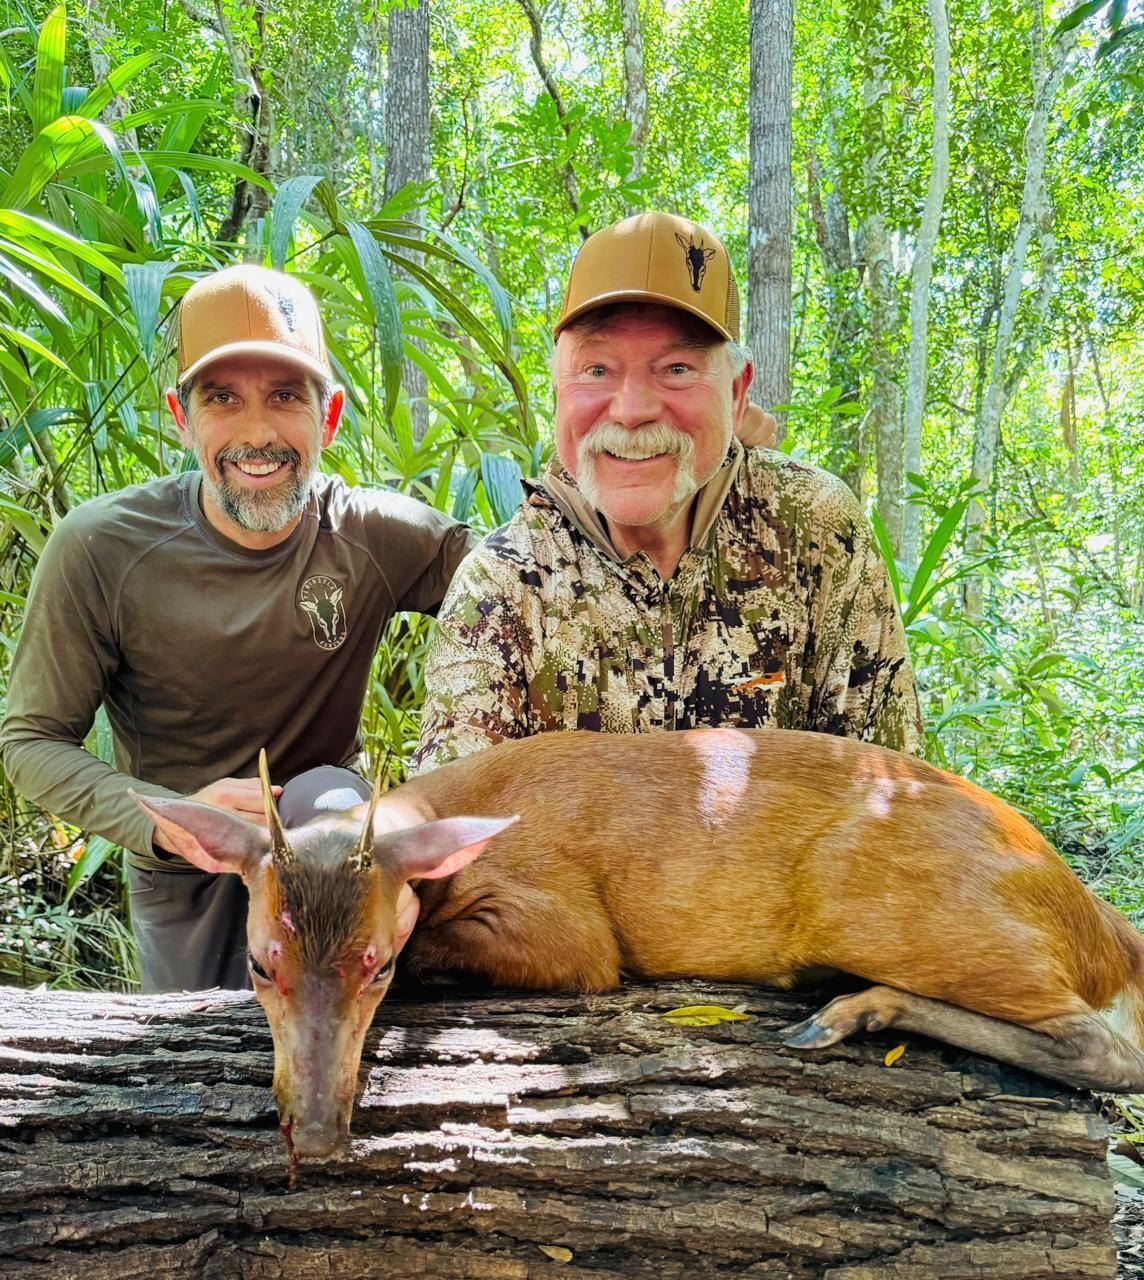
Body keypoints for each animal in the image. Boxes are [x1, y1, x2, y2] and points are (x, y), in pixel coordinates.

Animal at [133, 727, 1144, 1179]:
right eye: (261, 964)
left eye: (378, 963)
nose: (317, 1135)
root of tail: (1105, 930)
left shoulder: (571, 927)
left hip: (891, 902)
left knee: (1106, 1050)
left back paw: (849, 1007)